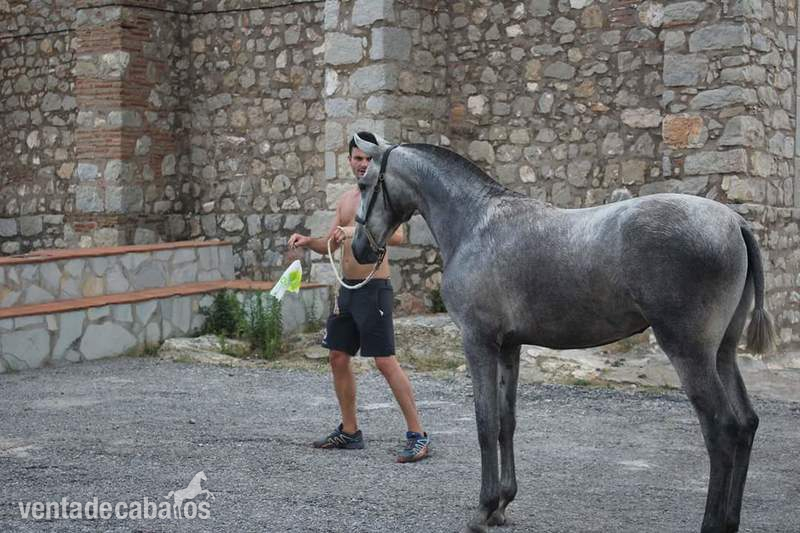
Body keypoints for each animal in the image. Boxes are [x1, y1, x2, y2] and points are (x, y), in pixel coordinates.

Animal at [350, 133, 776, 533]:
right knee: (746, 424)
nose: (358, 250)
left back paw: (713, 523)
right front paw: (502, 505)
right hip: (722, 353)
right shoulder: (509, 347)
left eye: (364, 182)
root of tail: (734, 222)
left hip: (690, 353)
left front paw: (484, 509)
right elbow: (506, 422)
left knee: (722, 429)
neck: (476, 223)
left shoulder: (478, 342)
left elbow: (485, 423)